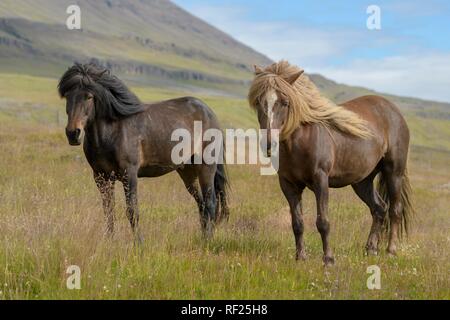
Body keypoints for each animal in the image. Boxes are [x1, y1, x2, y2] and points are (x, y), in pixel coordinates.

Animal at [58, 63, 229, 242]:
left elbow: (132, 211)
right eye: (67, 96)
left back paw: (208, 240)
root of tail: (209, 113)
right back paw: (203, 237)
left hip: (206, 168)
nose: (73, 134)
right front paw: (110, 241)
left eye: (89, 96)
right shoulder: (101, 177)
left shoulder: (129, 174)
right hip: (187, 172)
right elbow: (109, 210)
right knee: (201, 204)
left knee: (210, 203)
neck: (112, 133)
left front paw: (139, 243)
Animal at [248, 60, 414, 264]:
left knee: (395, 210)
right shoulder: (288, 184)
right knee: (379, 208)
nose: (268, 143)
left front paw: (328, 258)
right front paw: (300, 257)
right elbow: (297, 223)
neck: (300, 141)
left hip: (394, 172)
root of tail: (394, 111)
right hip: (362, 181)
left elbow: (323, 222)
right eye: (258, 102)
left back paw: (391, 251)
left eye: (285, 102)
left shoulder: (321, 180)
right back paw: (371, 249)